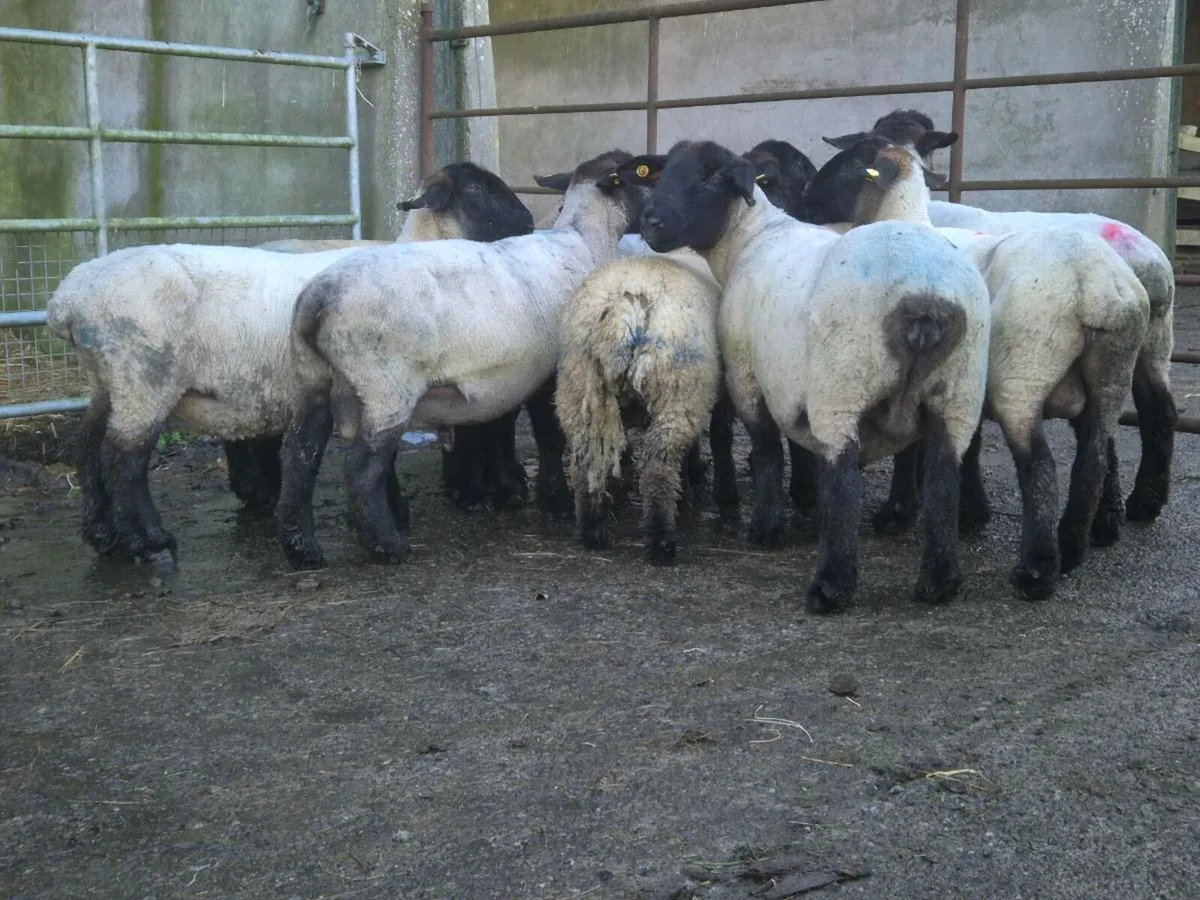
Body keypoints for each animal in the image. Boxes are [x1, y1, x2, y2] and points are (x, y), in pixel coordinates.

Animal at [279, 150, 648, 567]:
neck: (585, 241)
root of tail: (316, 301)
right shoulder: (557, 371)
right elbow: (551, 438)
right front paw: (558, 502)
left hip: (313, 381)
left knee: (298, 458)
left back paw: (302, 548)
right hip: (385, 387)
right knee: (362, 468)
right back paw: (385, 544)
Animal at [614, 141, 991, 613]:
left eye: (709, 177)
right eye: (664, 173)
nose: (651, 222)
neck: (750, 238)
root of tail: (926, 296)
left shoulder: (747, 375)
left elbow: (767, 450)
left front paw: (766, 528)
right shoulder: (789, 384)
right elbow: (798, 449)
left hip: (842, 383)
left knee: (845, 478)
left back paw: (830, 587)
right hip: (958, 392)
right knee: (943, 478)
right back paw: (939, 584)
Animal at [800, 137, 1150, 598]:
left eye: (847, 164)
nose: (804, 203)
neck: (905, 218)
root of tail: (1095, 282)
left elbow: (912, 449)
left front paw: (900, 513)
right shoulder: (958, 384)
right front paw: (969, 513)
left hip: (1024, 375)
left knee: (1041, 465)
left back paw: (1036, 570)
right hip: (1111, 377)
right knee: (1093, 459)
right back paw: (1075, 548)